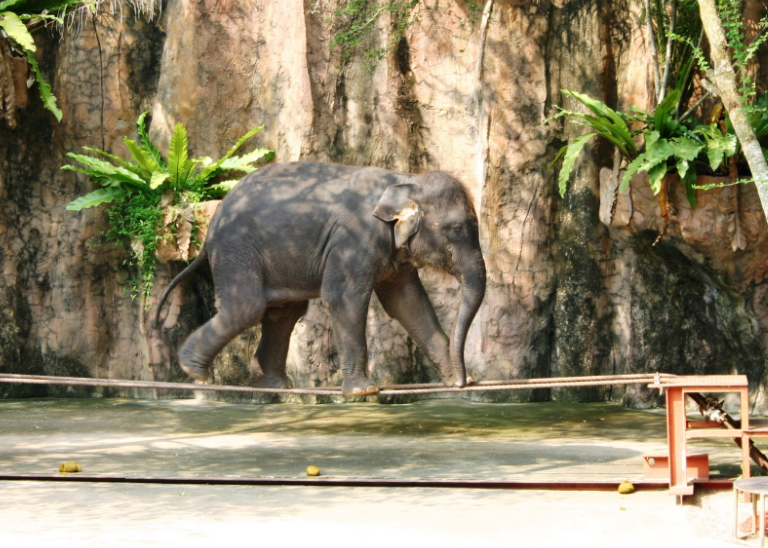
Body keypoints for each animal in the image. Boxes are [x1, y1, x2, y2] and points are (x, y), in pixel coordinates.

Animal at [155, 161, 486, 396]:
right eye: (457, 229)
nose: (462, 382)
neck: (405, 179)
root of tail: (212, 224)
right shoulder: (355, 238)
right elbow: (346, 299)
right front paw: (363, 391)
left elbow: (409, 304)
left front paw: (463, 379)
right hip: (236, 248)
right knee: (246, 308)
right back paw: (194, 370)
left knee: (283, 313)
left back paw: (275, 385)